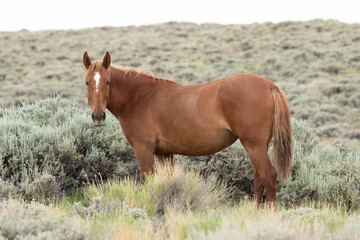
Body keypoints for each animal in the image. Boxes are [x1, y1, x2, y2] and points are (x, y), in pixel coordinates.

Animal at [83, 50, 292, 204]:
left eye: (107, 81)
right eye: (87, 82)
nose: (98, 116)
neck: (139, 97)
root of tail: (269, 85)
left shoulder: (144, 149)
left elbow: (148, 180)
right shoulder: (164, 153)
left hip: (253, 144)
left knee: (268, 175)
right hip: (259, 145)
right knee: (258, 178)